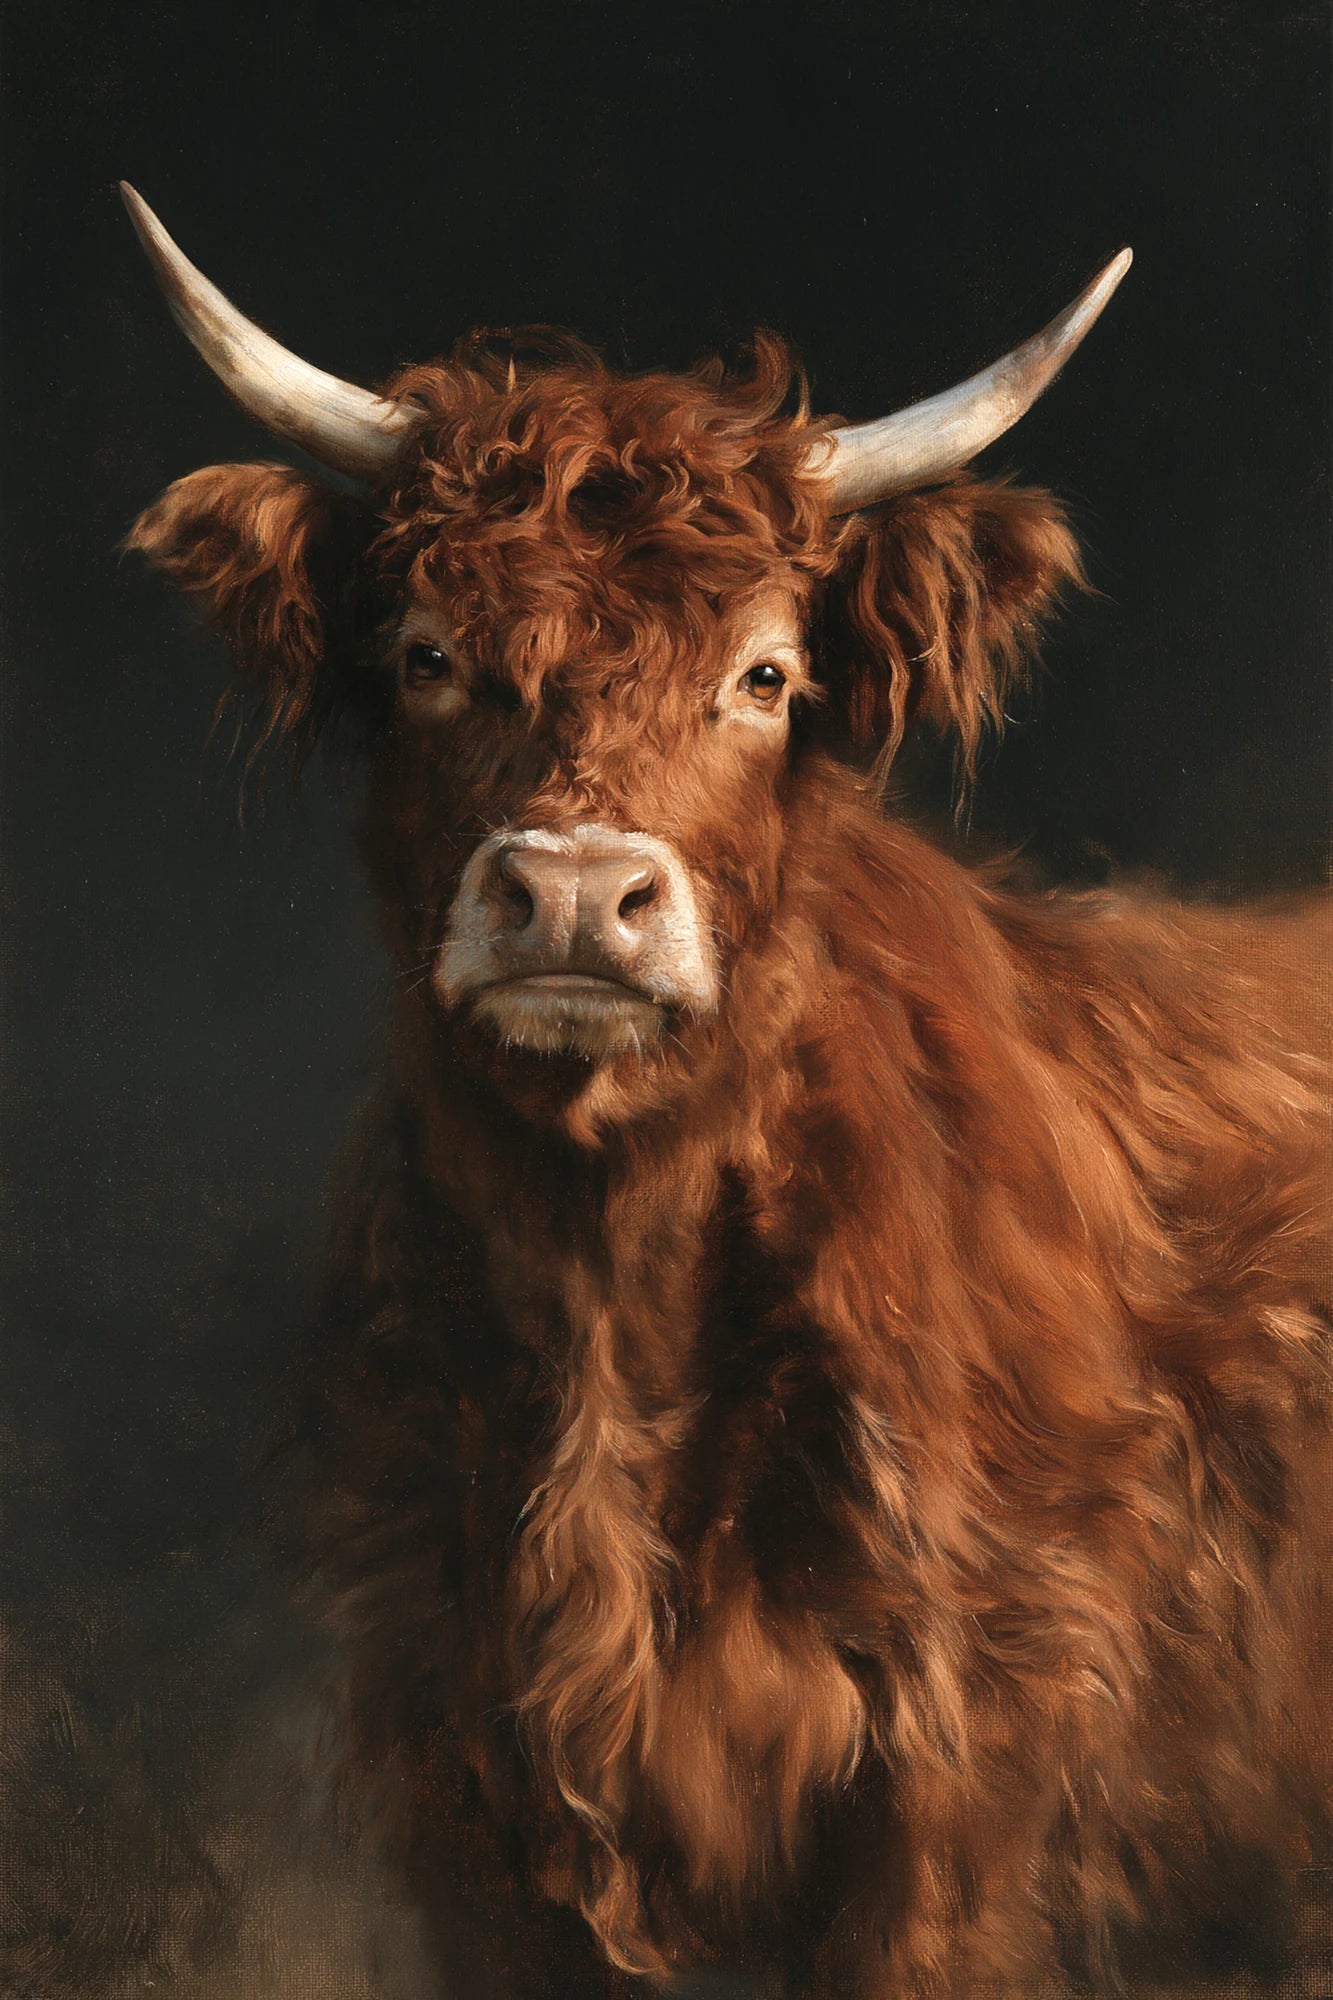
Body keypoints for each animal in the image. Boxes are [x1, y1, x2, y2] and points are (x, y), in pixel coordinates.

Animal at [121, 184, 1332, 1999]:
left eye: (764, 676)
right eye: (424, 653)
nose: (570, 893)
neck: (607, 1312)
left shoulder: (960, 1785)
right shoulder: (456, 1782)